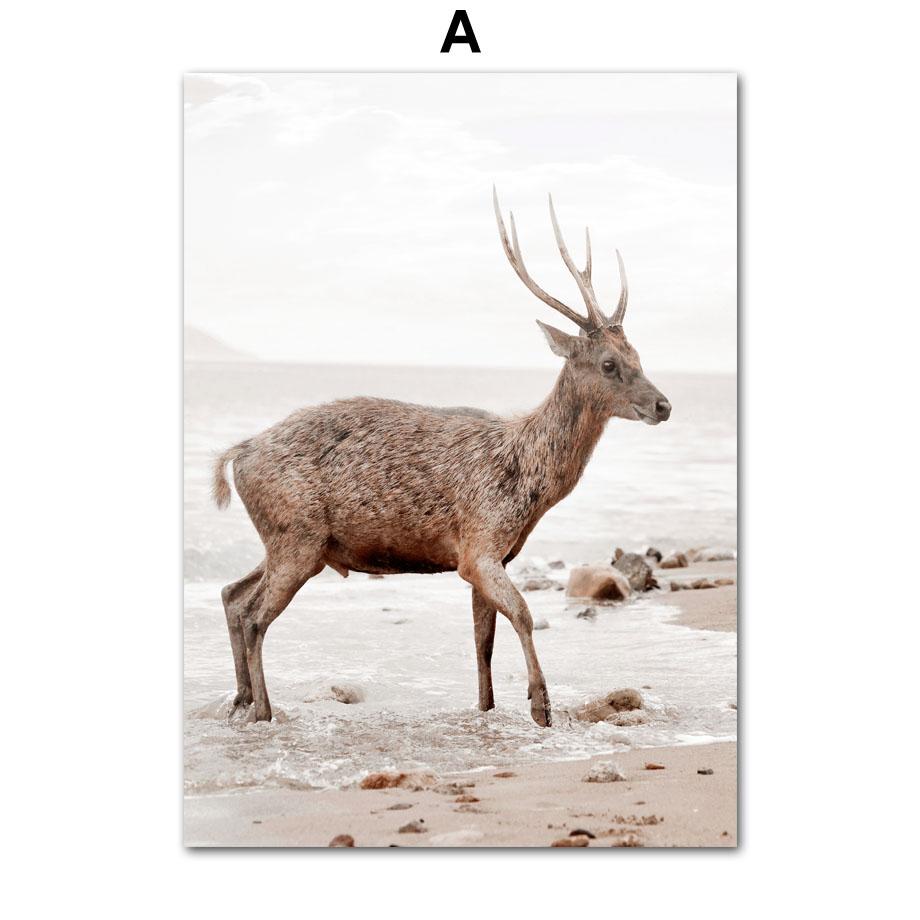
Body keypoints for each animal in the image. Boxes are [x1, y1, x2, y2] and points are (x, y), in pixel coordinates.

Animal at [212, 189, 671, 728]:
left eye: (639, 355)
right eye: (609, 364)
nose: (664, 405)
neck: (528, 485)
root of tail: (237, 454)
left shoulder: (492, 553)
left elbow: (482, 641)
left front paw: (487, 708)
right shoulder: (479, 545)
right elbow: (523, 614)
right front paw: (540, 705)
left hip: (289, 540)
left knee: (233, 595)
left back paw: (240, 699)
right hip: (296, 538)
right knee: (256, 615)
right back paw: (263, 710)